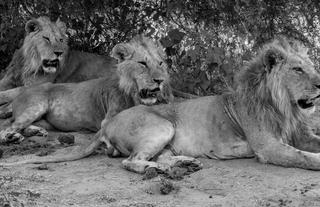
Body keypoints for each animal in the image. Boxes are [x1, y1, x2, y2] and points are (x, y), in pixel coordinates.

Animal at [2, 37, 320, 171]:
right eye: (298, 70)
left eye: (310, 67)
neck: (286, 108)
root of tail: (108, 125)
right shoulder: (267, 146)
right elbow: (304, 157)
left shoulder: (300, 134)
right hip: (162, 126)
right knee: (132, 161)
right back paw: (160, 171)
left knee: (157, 156)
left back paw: (185, 164)